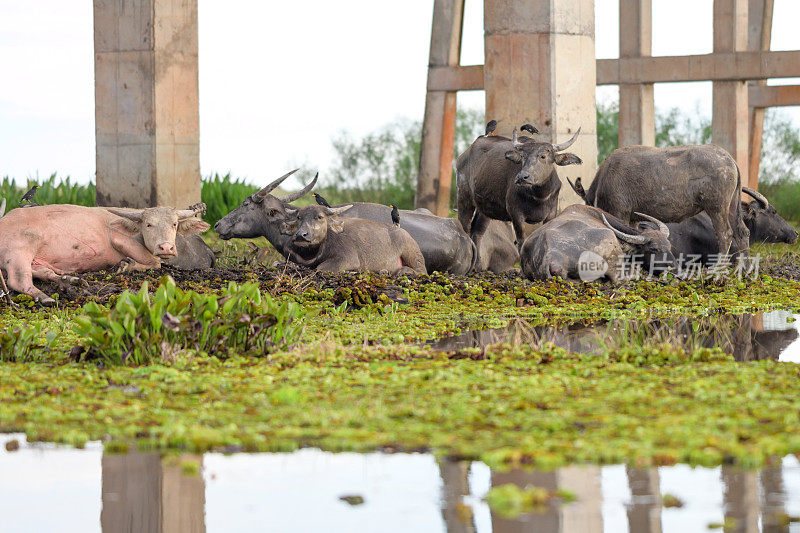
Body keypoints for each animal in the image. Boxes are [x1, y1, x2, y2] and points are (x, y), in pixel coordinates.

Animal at [0, 203, 209, 304]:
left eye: (174, 224)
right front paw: (126, 265)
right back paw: (46, 297)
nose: (166, 248)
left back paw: (70, 281)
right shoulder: (120, 239)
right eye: (149, 224)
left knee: (43, 272)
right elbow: (154, 262)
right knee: (18, 280)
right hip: (21, 248)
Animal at [282, 204, 432, 274]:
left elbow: (321, 268)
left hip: (412, 255)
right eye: (299, 217)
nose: (301, 235)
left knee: (422, 271)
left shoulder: (347, 258)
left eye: (319, 217)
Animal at [576, 144, 752, 260]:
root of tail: (730, 160)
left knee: (725, 234)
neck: (605, 178)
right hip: (731, 206)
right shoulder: (633, 219)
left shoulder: (620, 213)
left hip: (716, 208)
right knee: (742, 232)